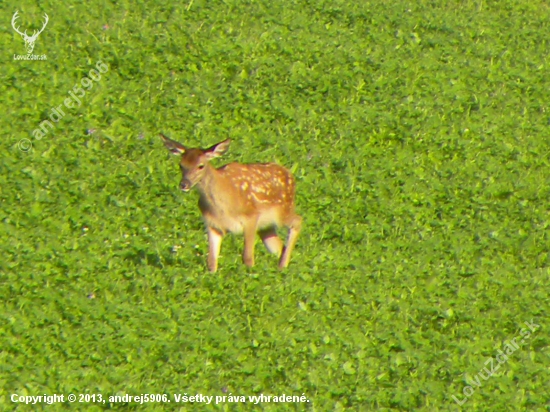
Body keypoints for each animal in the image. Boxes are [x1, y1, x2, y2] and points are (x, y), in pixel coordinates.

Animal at [162, 134, 304, 272]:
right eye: (181, 165)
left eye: (200, 166)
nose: (184, 184)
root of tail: (290, 175)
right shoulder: (212, 224)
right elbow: (211, 261)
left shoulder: (251, 216)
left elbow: (247, 257)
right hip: (266, 226)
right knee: (279, 246)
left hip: (283, 210)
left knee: (298, 220)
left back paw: (283, 266)